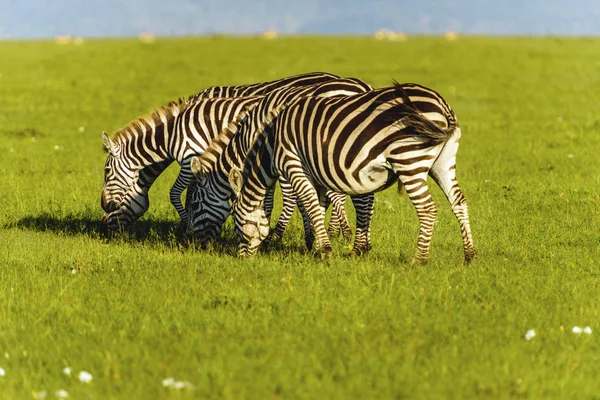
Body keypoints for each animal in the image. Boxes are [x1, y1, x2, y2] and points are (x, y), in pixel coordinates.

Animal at [100, 70, 340, 230]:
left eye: (106, 172)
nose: (103, 226)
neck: (173, 131)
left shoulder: (192, 157)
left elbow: (177, 193)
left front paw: (186, 225)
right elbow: (194, 193)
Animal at [227, 83, 476, 264]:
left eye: (236, 218)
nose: (242, 259)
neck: (271, 147)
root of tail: (442, 105)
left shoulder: (293, 164)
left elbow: (310, 205)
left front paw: (325, 251)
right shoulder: (315, 173)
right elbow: (317, 208)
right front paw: (317, 246)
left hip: (408, 159)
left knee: (427, 209)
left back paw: (418, 259)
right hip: (442, 162)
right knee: (459, 202)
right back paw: (469, 255)